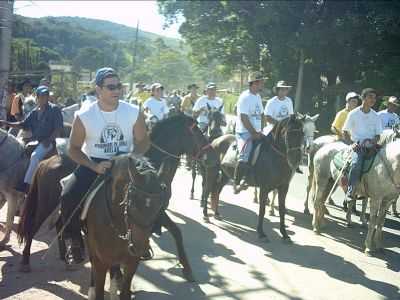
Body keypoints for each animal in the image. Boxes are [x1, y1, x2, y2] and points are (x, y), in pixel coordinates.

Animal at [17, 113, 217, 280]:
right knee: (33, 227)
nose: (212, 157)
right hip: (46, 204)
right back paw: (26, 262)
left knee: (61, 224)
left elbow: (176, 232)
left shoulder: (156, 212)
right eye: (196, 131)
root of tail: (45, 162)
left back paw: (68, 258)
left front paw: (186, 269)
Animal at [86, 155, 168, 300]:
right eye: (131, 203)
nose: (139, 249)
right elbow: (99, 291)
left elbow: (125, 292)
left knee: (114, 269)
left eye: (160, 205)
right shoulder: (100, 262)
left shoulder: (132, 262)